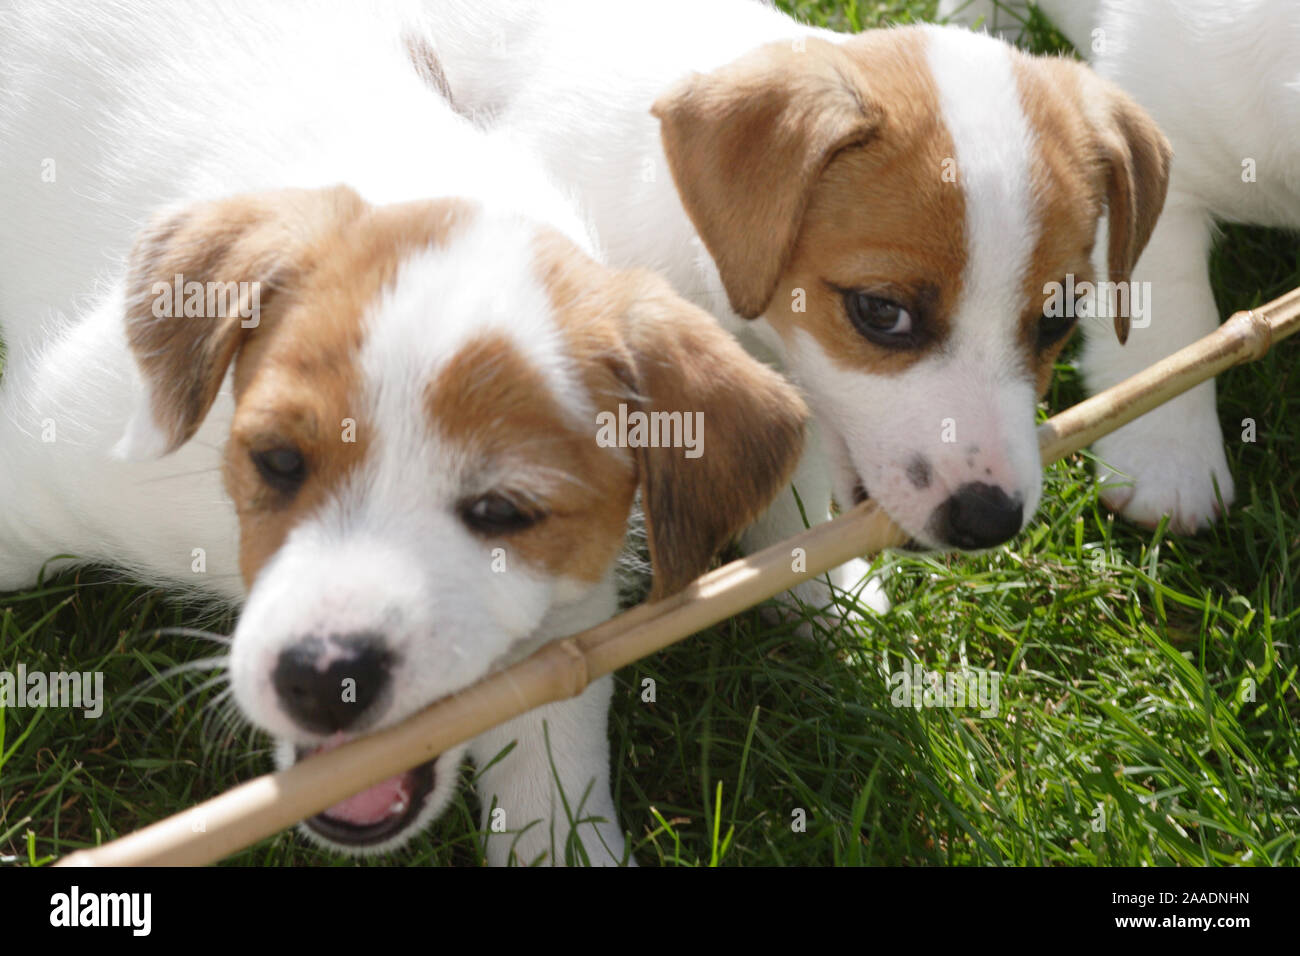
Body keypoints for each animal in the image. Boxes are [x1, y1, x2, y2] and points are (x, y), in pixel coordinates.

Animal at [0, 0, 811, 868]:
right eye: (277, 460)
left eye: (504, 512)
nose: (327, 678)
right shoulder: (50, 462)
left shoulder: (559, 633)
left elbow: (553, 783)